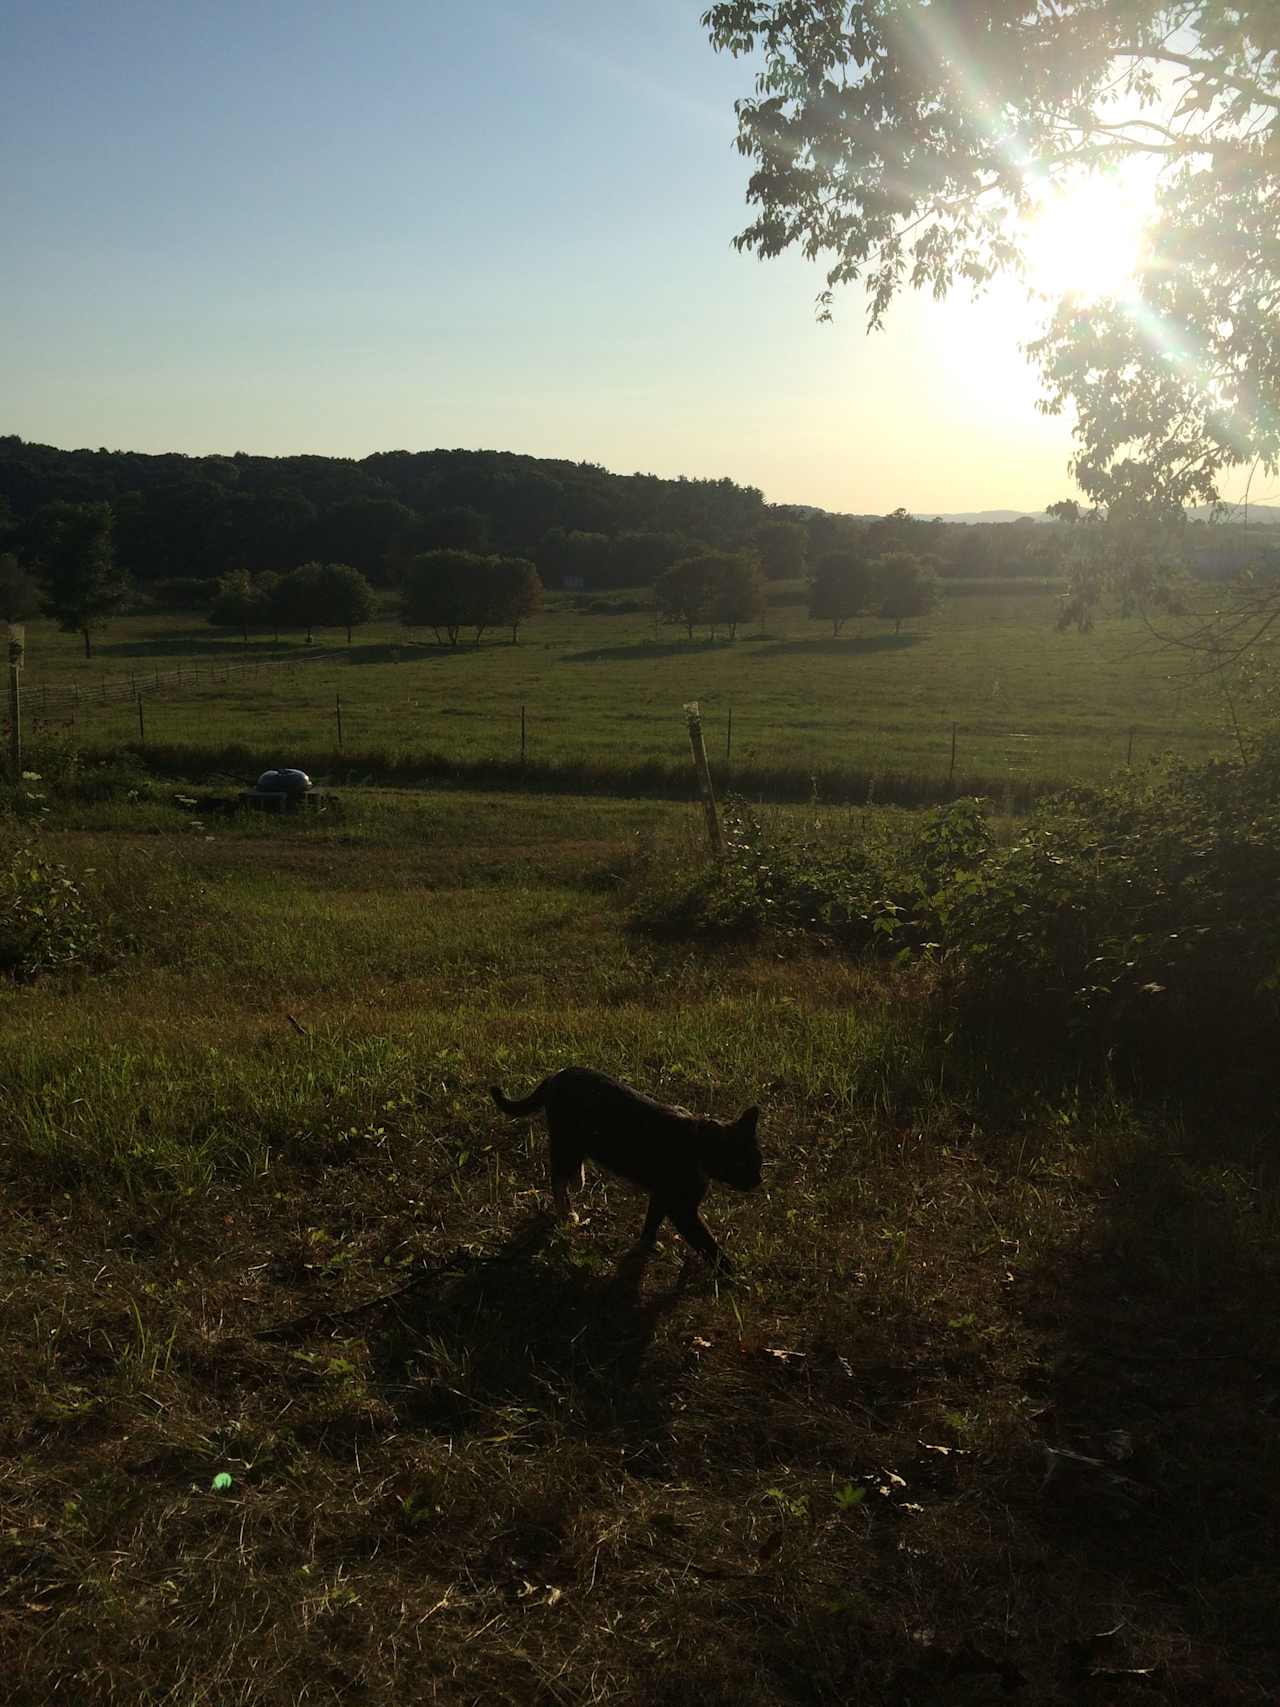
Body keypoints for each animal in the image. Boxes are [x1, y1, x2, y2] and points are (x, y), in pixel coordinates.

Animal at [491, 1065, 761, 1270]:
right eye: (742, 1163)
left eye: (758, 1162)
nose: (758, 1180)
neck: (698, 1144)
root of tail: (558, 1073)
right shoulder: (681, 1206)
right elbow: (706, 1242)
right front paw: (731, 1273)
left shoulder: (662, 1194)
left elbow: (652, 1219)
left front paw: (646, 1246)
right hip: (565, 1139)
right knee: (557, 1176)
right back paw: (567, 1212)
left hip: (574, 1141)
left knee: (567, 1170)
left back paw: (578, 1181)